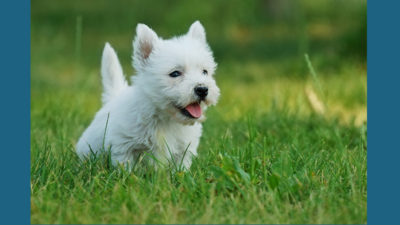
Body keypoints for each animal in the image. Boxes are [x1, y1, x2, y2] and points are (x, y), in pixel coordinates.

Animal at [75, 21, 219, 170]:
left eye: (205, 71)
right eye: (175, 73)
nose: (202, 89)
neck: (165, 119)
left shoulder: (184, 150)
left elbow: (180, 168)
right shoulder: (123, 146)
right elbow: (126, 167)